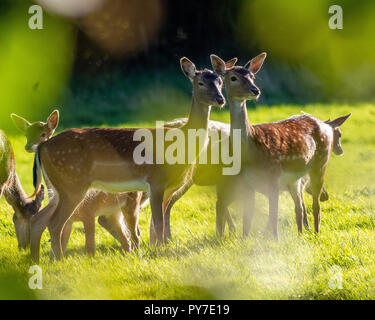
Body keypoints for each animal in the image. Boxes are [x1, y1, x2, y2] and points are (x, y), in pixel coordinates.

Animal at [10, 110, 148, 255]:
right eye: (26, 134)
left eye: (43, 134)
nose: (28, 146)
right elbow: (66, 241)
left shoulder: (89, 213)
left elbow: (88, 245)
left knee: (132, 233)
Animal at [210, 52, 352, 238]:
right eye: (233, 77)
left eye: (252, 76)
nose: (255, 90)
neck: (251, 149)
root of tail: (325, 125)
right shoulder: (248, 183)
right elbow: (248, 216)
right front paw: (245, 239)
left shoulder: (273, 177)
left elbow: (273, 214)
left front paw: (275, 240)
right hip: (295, 179)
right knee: (299, 207)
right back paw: (301, 235)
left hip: (320, 163)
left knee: (316, 204)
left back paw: (316, 233)